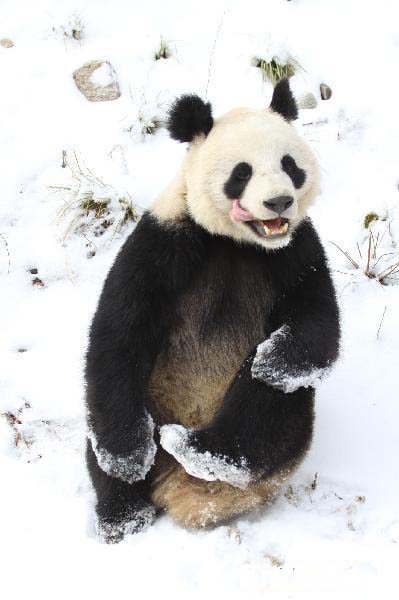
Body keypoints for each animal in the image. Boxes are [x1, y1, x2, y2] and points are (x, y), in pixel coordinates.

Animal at [85, 79, 340, 544]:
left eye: (289, 164)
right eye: (242, 173)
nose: (279, 202)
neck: (236, 240)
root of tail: (179, 486)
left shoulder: (296, 251)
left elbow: (317, 325)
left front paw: (273, 360)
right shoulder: (164, 241)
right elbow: (119, 333)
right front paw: (127, 459)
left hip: (284, 427)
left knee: (271, 406)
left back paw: (208, 452)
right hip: (148, 398)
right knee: (106, 425)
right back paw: (123, 513)